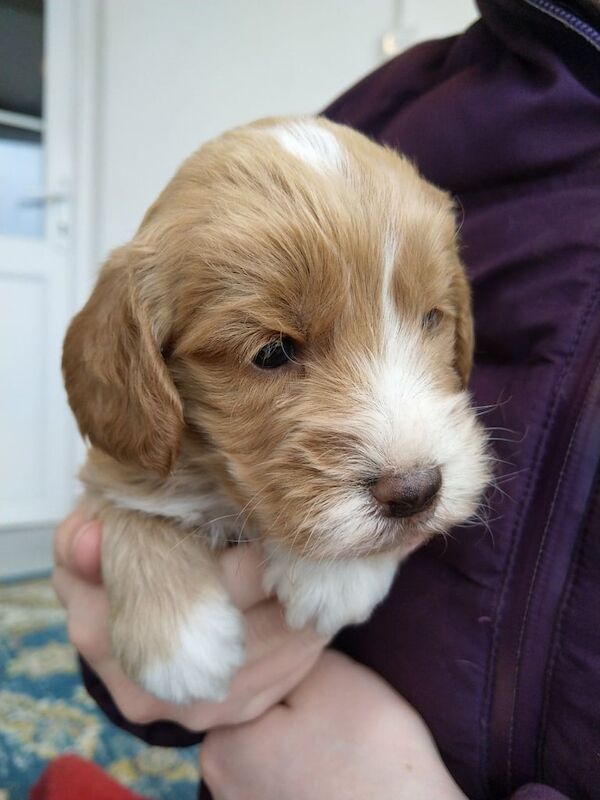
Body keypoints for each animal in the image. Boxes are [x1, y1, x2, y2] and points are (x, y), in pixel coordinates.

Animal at [63, 115, 490, 704]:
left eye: (431, 318)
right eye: (272, 352)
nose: (415, 492)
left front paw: (339, 573)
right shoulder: (115, 463)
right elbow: (132, 508)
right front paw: (178, 640)